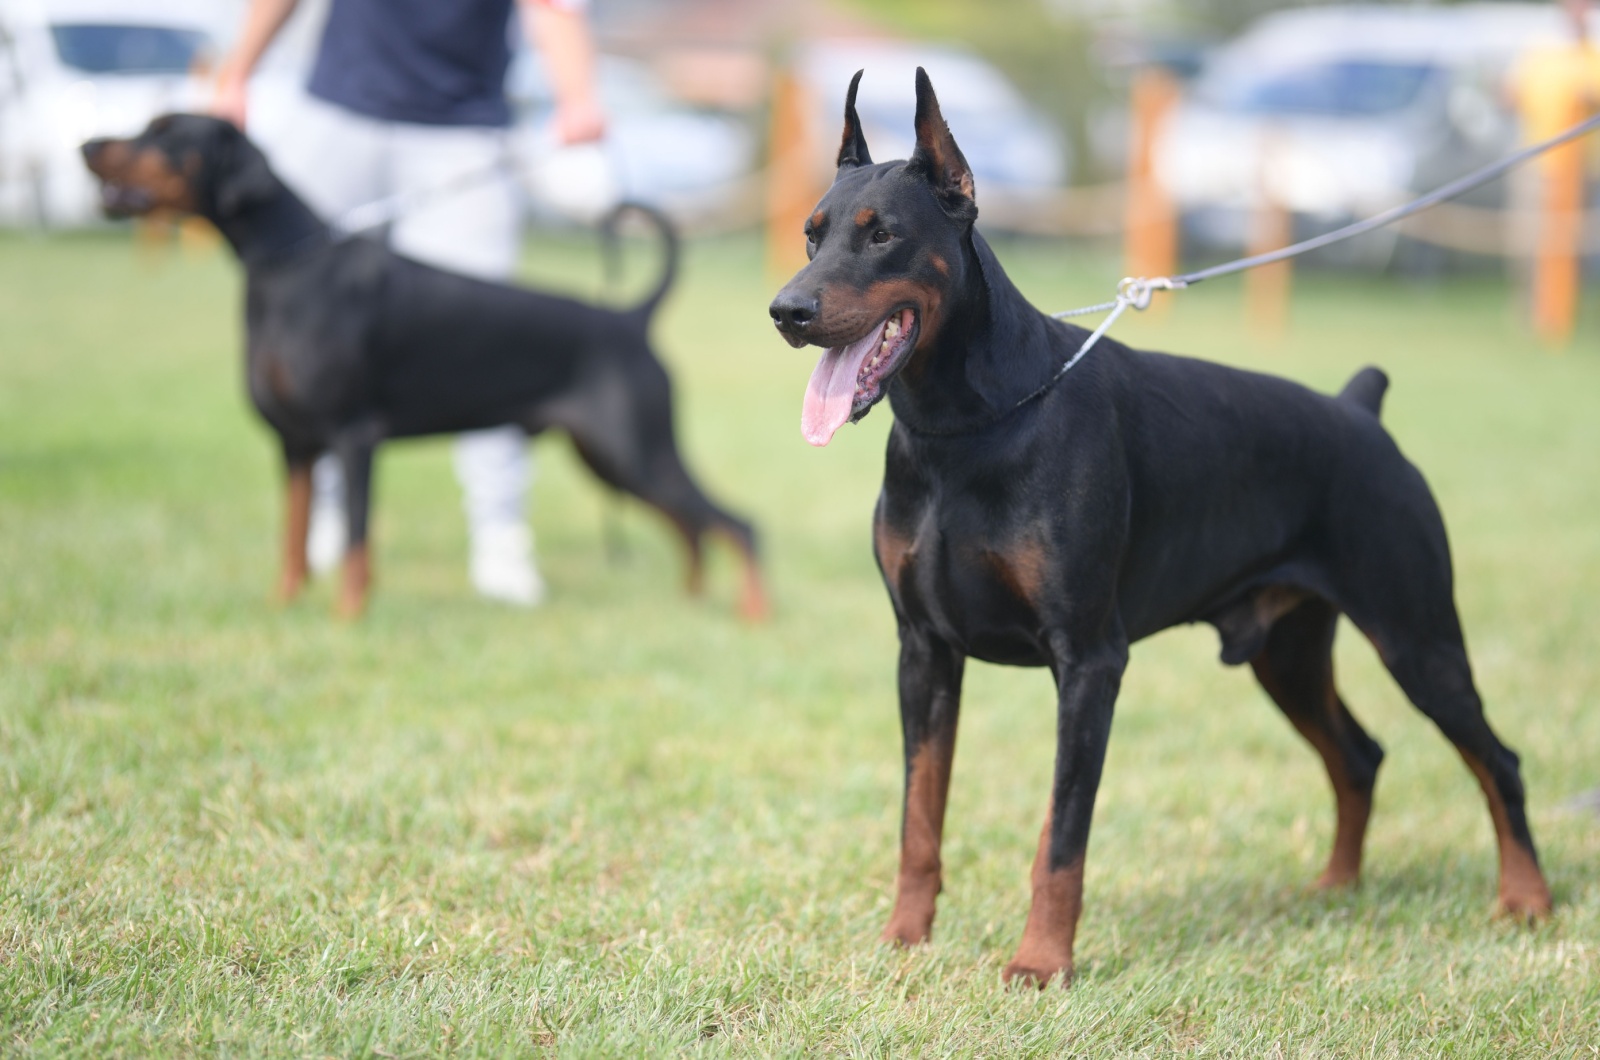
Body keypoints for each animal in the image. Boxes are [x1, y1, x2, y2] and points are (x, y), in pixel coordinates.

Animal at [81, 114, 768, 624]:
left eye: (166, 135)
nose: (87, 145)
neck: (289, 269)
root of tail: (630, 316)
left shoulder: (354, 437)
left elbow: (356, 541)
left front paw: (347, 618)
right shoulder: (295, 445)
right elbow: (295, 535)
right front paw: (282, 606)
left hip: (635, 449)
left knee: (738, 523)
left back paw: (753, 613)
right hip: (608, 458)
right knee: (693, 527)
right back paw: (690, 602)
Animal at [768, 70, 1542, 992]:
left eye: (882, 233)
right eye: (811, 233)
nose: (787, 309)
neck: (965, 428)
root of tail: (1360, 411)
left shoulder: (1089, 661)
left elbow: (1061, 835)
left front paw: (1041, 963)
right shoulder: (923, 651)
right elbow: (919, 815)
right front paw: (904, 940)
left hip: (1416, 635)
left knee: (1496, 760)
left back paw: (1526, 901)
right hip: (1288, 652)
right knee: (1359, 755)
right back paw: (1334, 890)